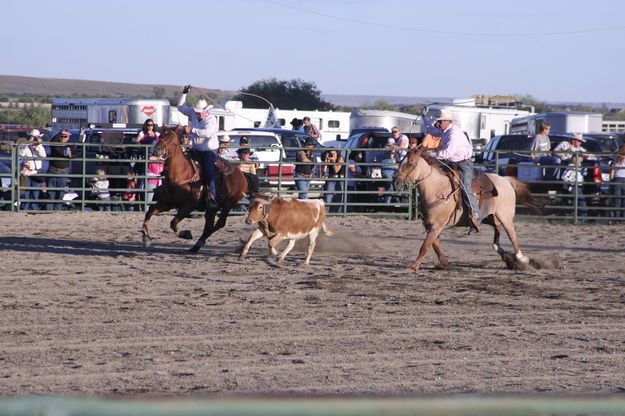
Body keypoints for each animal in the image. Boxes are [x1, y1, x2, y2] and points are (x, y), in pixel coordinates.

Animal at [394, 149, 540, 270]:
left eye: (411, 164)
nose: (396, 182)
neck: (437, 189)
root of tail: (505, 179)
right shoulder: (430, 225)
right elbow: (435, 245)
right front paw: (446, 263)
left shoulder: (437, 225)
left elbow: (425, 246)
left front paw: (414, 266)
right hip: (488, 217)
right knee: (497, 229)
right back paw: (505, 254)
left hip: (505, 216)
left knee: (512, 235)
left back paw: (521, 258)